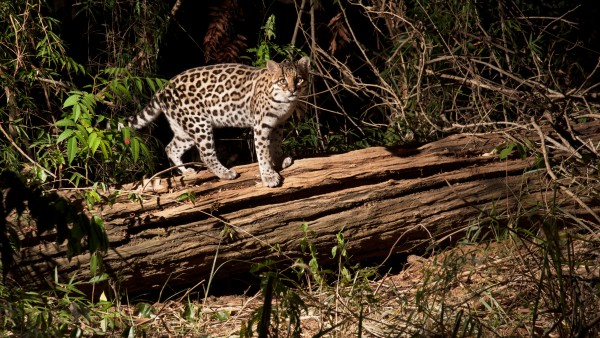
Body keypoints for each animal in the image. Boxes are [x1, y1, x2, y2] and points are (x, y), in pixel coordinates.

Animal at [120, 56, 312, 186]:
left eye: (299, 79)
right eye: (282, 81)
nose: (293, 90)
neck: (284, 104)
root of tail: (163, 88)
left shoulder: (278, 125)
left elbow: (275, 145)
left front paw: (279, 160)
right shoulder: (261, 126)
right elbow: (263, 152)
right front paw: (269, 175)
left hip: (184, 128)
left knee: (171, 148)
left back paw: (186, 171)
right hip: (199, 123)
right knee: (206, 154)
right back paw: (225, 173)